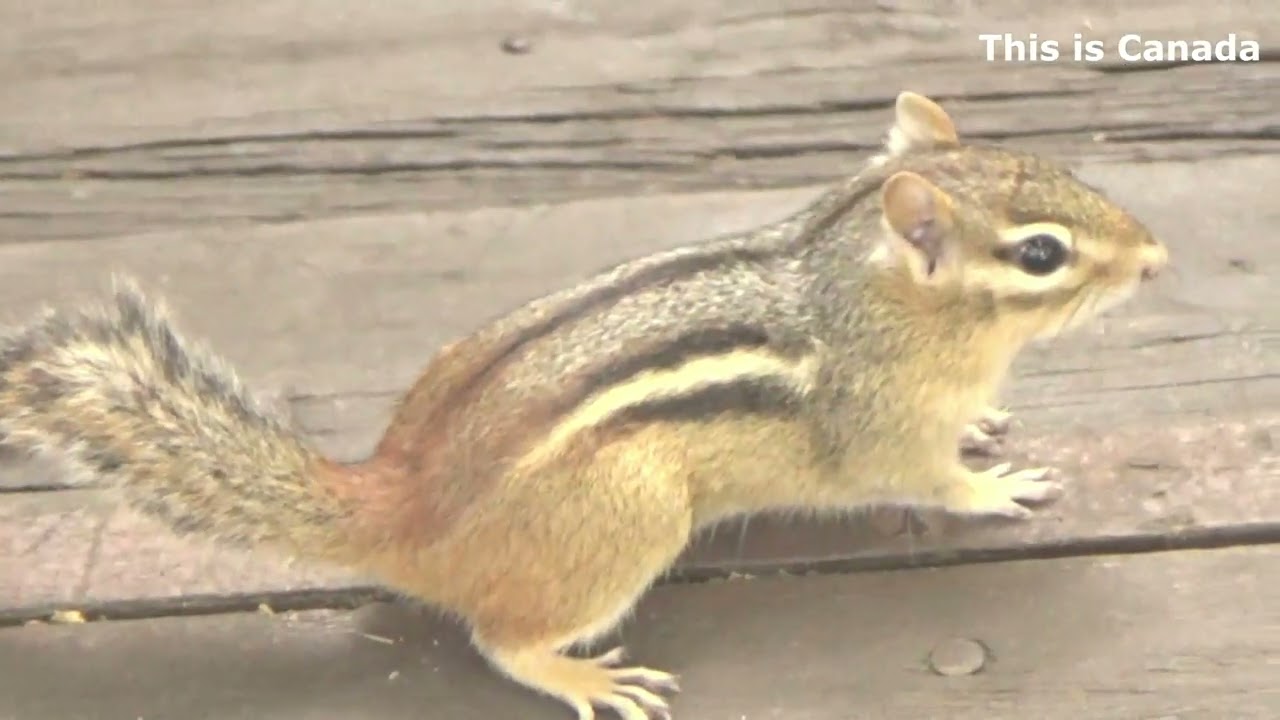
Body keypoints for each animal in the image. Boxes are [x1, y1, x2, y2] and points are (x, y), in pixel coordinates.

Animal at [0, 91, 1168, 720]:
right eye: (1040, 254)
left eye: (1045, 163)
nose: (1155, 258)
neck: (861, 293)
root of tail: (399, 505)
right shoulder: (879, 427)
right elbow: (928, 480)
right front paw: (995, 483)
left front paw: (988, 431)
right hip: (629, 517)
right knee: (498, 639)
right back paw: (575, 673)